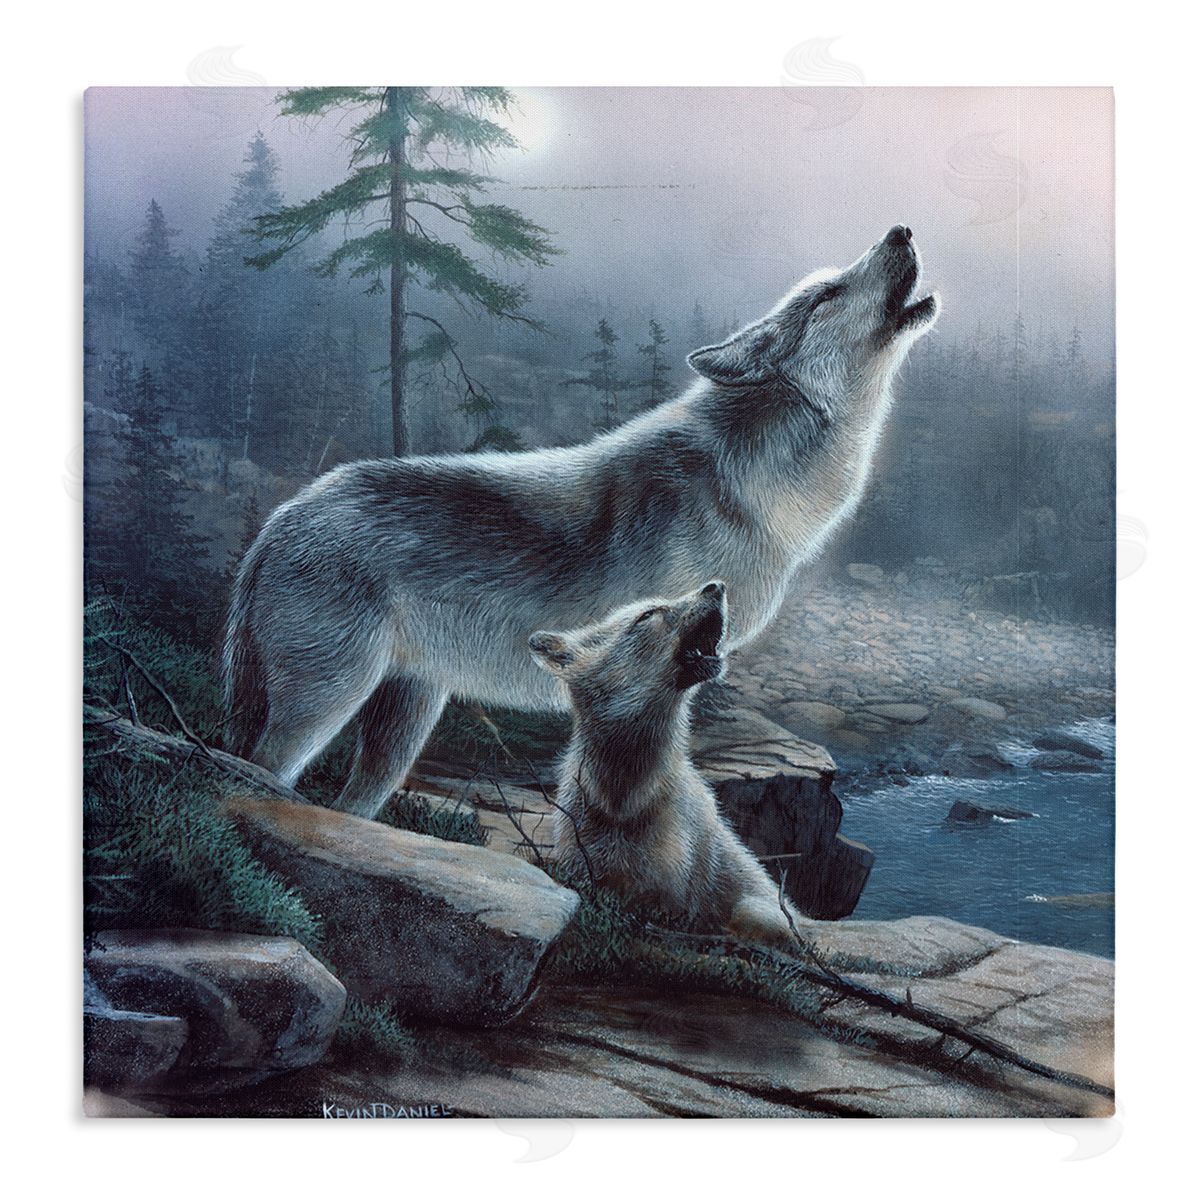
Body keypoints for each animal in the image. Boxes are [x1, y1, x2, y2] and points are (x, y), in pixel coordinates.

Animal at [224, 225, 938, 818]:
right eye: (829, 293)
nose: (902, 229)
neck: (755, 488)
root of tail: (281, 519)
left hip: (404, 718)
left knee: (349, 804)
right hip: (326, 702)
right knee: (257, 771)